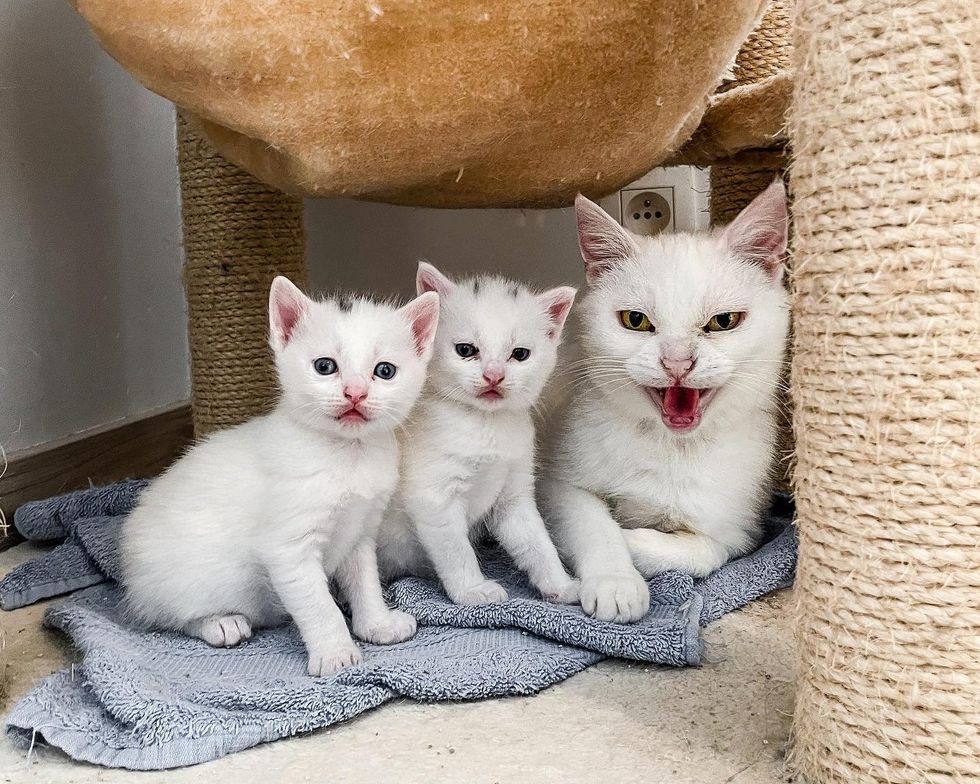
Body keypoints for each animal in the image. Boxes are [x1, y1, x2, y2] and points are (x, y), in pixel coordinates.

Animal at [121, 278, 440, 676]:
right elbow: (319, 606)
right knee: (168, 616)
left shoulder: (361, 530)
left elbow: (365, 580)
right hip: (185, 579)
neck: (349, 457)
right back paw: (220, 623)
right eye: (325, 366)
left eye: (384, 371)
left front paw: (376, 624)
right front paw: (335, 653)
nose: (355, 393)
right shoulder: (288, 549)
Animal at [378, 264, 580, 608]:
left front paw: (560, 585)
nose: (493, 376)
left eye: (520, 354)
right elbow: (457, 551)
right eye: (466, 350)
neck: (487, 427)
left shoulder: (513, 496)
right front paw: (472, 590)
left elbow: (537, 543)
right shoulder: (434, 497)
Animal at [540, 184, 792, 624]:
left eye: (723, 321)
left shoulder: (741, 529)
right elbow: (593, 522)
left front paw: (636, 540)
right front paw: (616, 583)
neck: (673, 449)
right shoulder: (557, 483)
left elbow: (707, 550)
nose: (677, 362)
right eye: (635, 320)